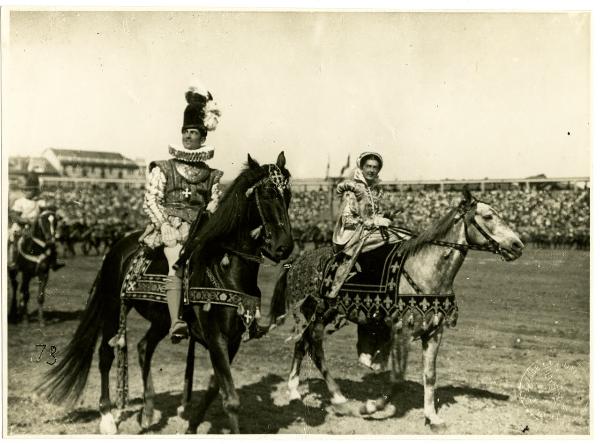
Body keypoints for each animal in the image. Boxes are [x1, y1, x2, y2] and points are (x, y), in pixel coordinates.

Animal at [270, 189, 524, 428]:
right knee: (312, 346)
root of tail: (296, 262)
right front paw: (370, 407)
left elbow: (430, 375)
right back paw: (336, 398)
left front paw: (433, 418)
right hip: (313, 313)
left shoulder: (434, 333)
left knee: (304, 344)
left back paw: (298, 391)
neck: (424, 271)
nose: (518, 245)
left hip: (319, 315)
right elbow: (398, 380)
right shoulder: (401, 331)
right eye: (488, 216)